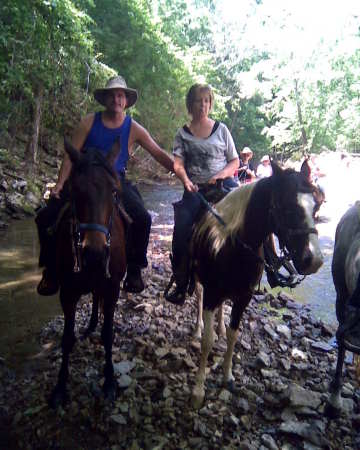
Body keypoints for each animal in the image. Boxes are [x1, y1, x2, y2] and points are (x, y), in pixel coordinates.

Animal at [48, 140, 126, 408]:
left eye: (114, 192)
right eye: (74, 191)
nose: (94, 254)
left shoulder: (112, 290)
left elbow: (108, 335)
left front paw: (110, 382)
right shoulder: (67, 293)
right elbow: (67, 339)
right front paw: (60, 387)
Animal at [188, 161, 324, 408]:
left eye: (316, 205)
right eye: (287, 206)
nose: (314, 260)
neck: (231, 244)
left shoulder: (244, 297)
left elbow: (233, 336)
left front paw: (227, 376)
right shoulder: (212, 292)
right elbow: (207, 341)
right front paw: (198, 390)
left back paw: (220, 327)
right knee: (200, 297)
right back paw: (197, 328)